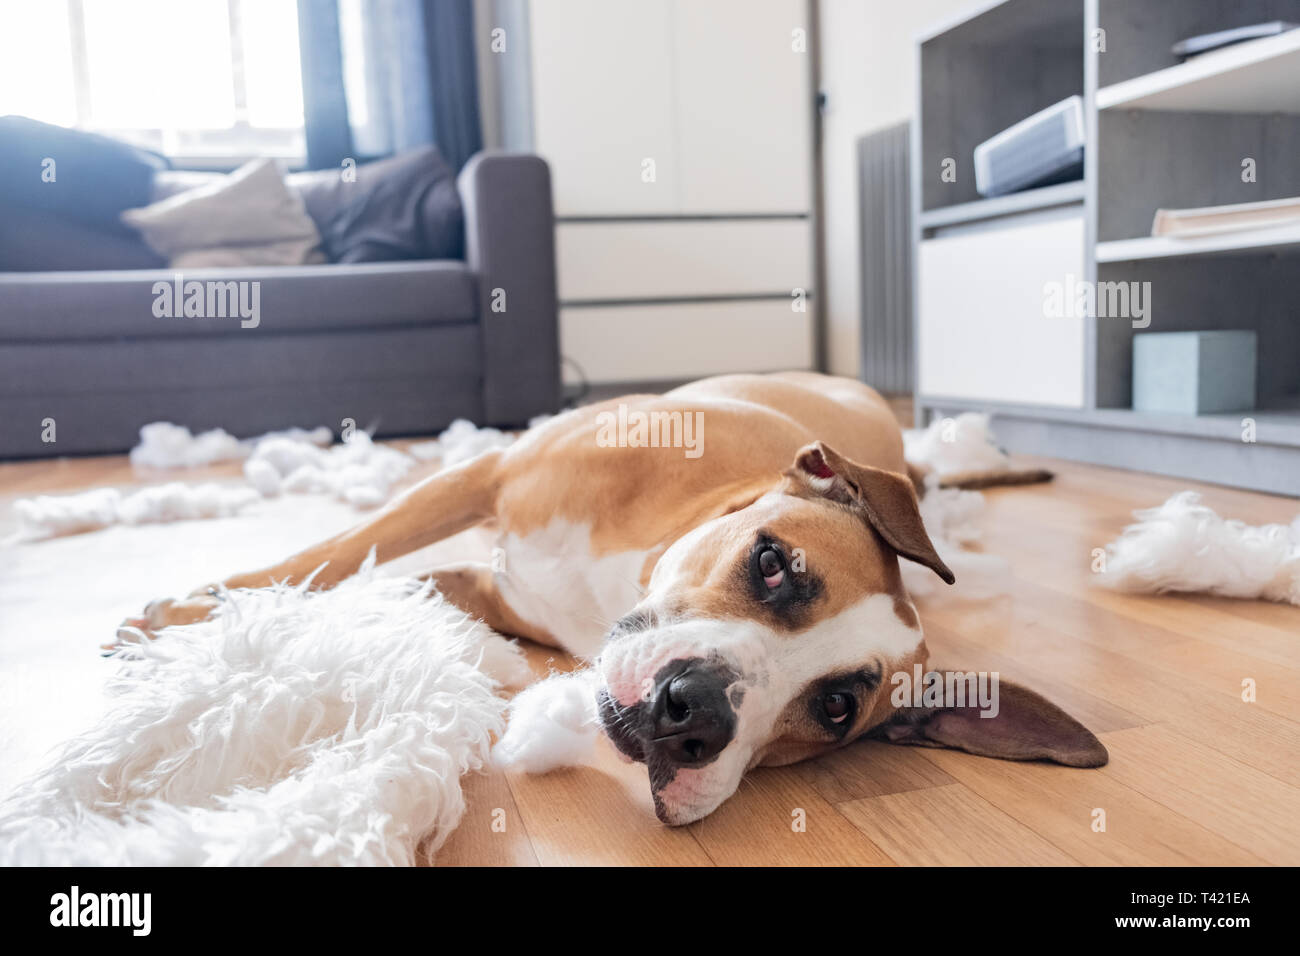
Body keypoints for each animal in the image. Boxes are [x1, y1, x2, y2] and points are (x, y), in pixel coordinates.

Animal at [122, 371, 1107, 822]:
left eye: (835, 708)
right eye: (773, 563)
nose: (693, 712)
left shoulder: (480, 584)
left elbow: (370, 581)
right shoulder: (484, 476)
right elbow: (335, 556)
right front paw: (196, 614)